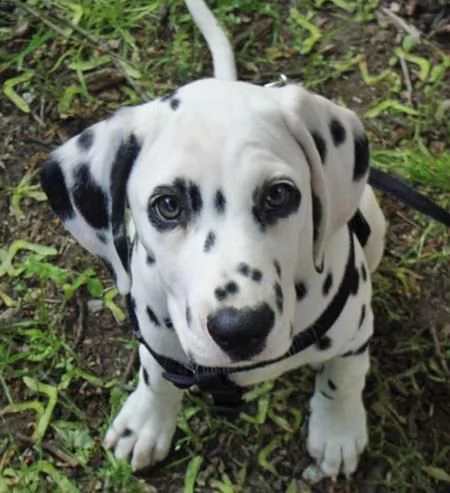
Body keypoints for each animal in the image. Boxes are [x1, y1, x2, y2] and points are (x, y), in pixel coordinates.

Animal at [40, 0, 386, 480]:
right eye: (167, 205)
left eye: (279, 195)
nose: (240, 330)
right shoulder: (156, 337)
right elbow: (157, 375)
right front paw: (148, 420)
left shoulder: (354, 327)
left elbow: (345, 376)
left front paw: (338, 430)